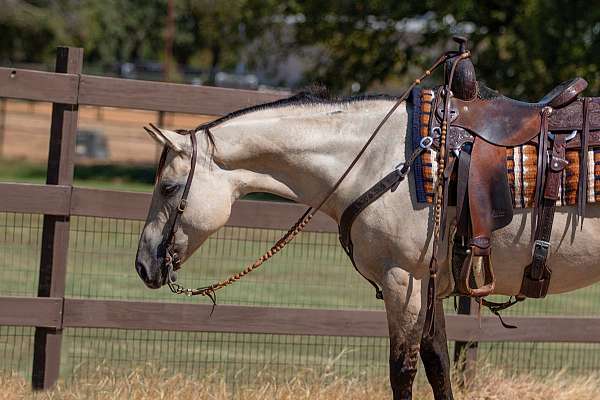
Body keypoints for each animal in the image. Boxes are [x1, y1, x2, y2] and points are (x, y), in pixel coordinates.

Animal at [136, 38, 600, 400]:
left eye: (169, 187)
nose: (143, 265)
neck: (382, 158)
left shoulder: (403, 281)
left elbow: (403, 371)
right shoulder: (430, 286)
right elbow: (438, 364)